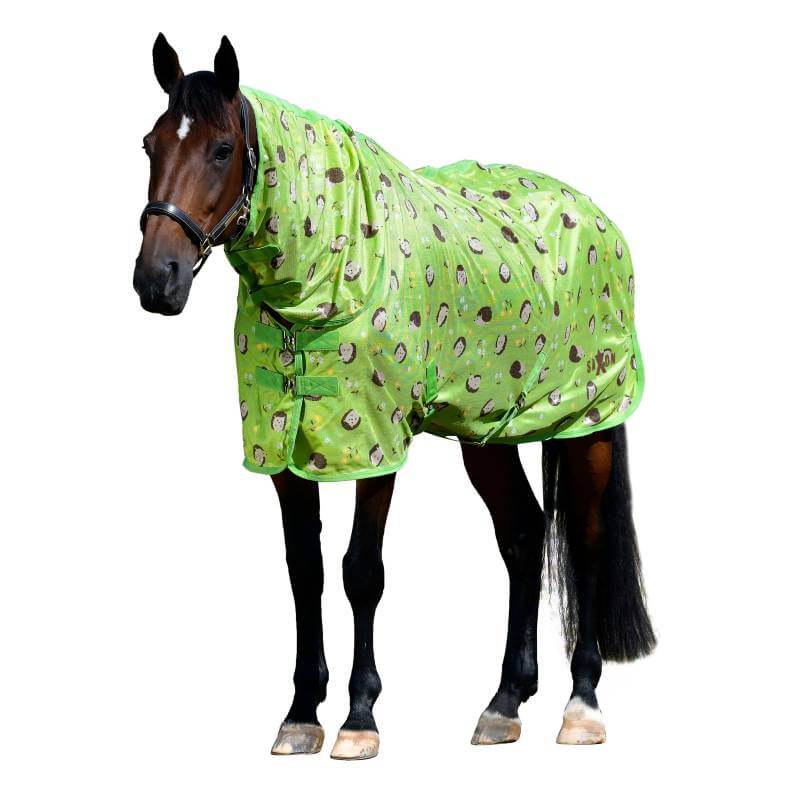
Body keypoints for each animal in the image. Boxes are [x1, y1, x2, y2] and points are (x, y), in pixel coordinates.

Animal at [134, 34, 655, 759]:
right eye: (150, 144)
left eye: (220, 149)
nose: (157, 279)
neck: (331, 259)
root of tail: (597, 216)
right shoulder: (283, 445)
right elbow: (306, 570)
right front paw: (301, 714)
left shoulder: (373, 442)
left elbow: (361, 571)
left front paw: (359, 717)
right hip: (487, 430)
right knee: (524, 534)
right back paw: (504, 702)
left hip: (590, 419)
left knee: (587, 539)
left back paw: (581, 706)